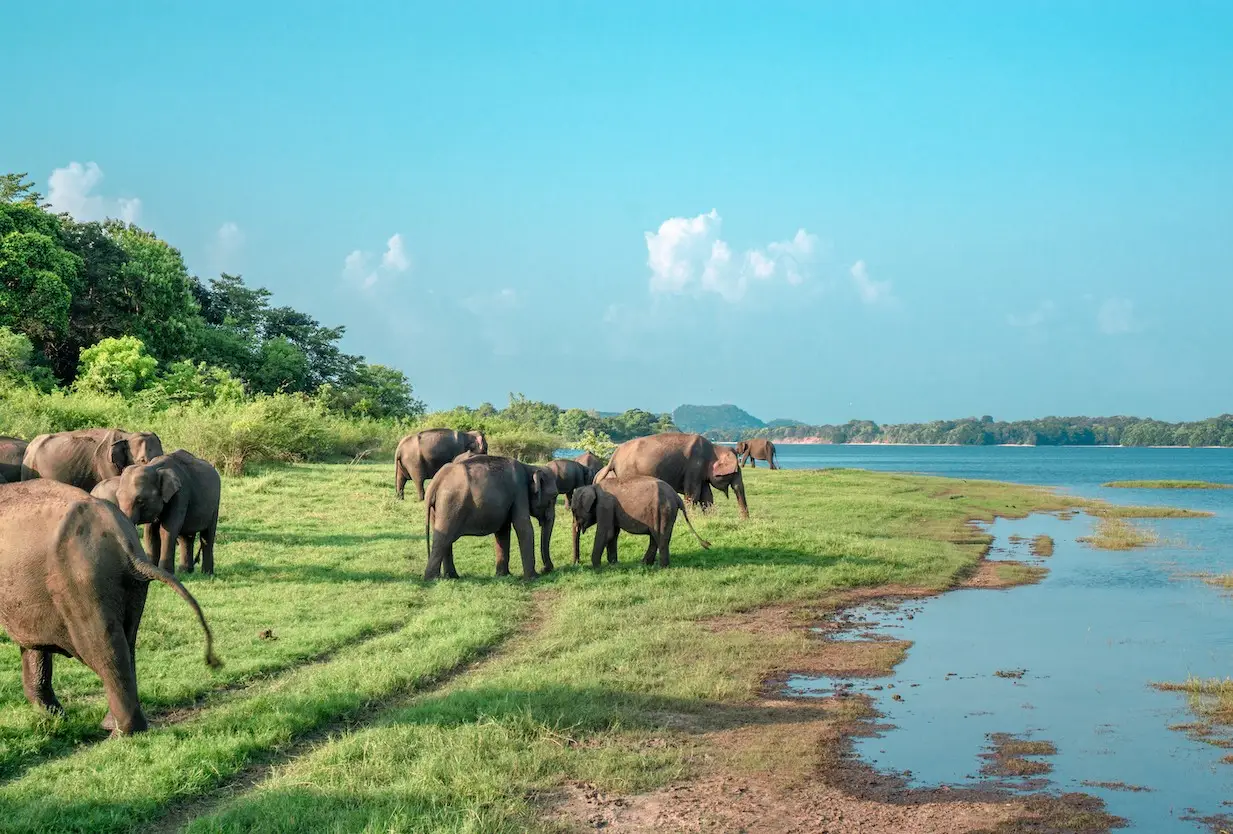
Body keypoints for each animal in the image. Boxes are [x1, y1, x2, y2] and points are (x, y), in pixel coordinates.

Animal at [0, 480, 220, 735]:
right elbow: (33, 644)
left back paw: (121, 733)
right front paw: (54, 717)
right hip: (129, 587)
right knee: (127, 641)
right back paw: (112, 725)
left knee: (103, 648)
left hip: (82, 583)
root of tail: (123, 539)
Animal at [423, 454, 553, 580]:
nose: (545, 569)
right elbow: (523, 526)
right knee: (443, 538)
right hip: (451, 504)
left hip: (438, 508)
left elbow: (503, 532)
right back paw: (433, 579)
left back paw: (452, 577)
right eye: (553, 497)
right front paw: (533, 578)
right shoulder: (520, 491)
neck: (528, 467)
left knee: (445, 541)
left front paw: (503, 576)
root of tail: (436, 481)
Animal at [569, 476, 711, 568]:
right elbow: (613, 533)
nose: (577, 563)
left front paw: (596, 566)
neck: (592, 486)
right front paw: (613, 564)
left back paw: (661, 567)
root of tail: (677, 497)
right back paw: (645, 564)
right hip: (665, 513)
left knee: (660, 536)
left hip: (663, 510)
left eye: (573, 510)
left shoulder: (605, 506)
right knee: (657, 537)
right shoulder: (610, 509)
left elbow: (606, 533)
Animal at [595, 433, 749, 518]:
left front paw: (709, 517)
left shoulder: (700, 472)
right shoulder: (694, 466)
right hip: (628, 472)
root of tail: (614, 455)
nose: (745, 520)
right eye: (736, 472)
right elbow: (693, 494)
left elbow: (706, 496)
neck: (714, 447)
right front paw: (693, 517)